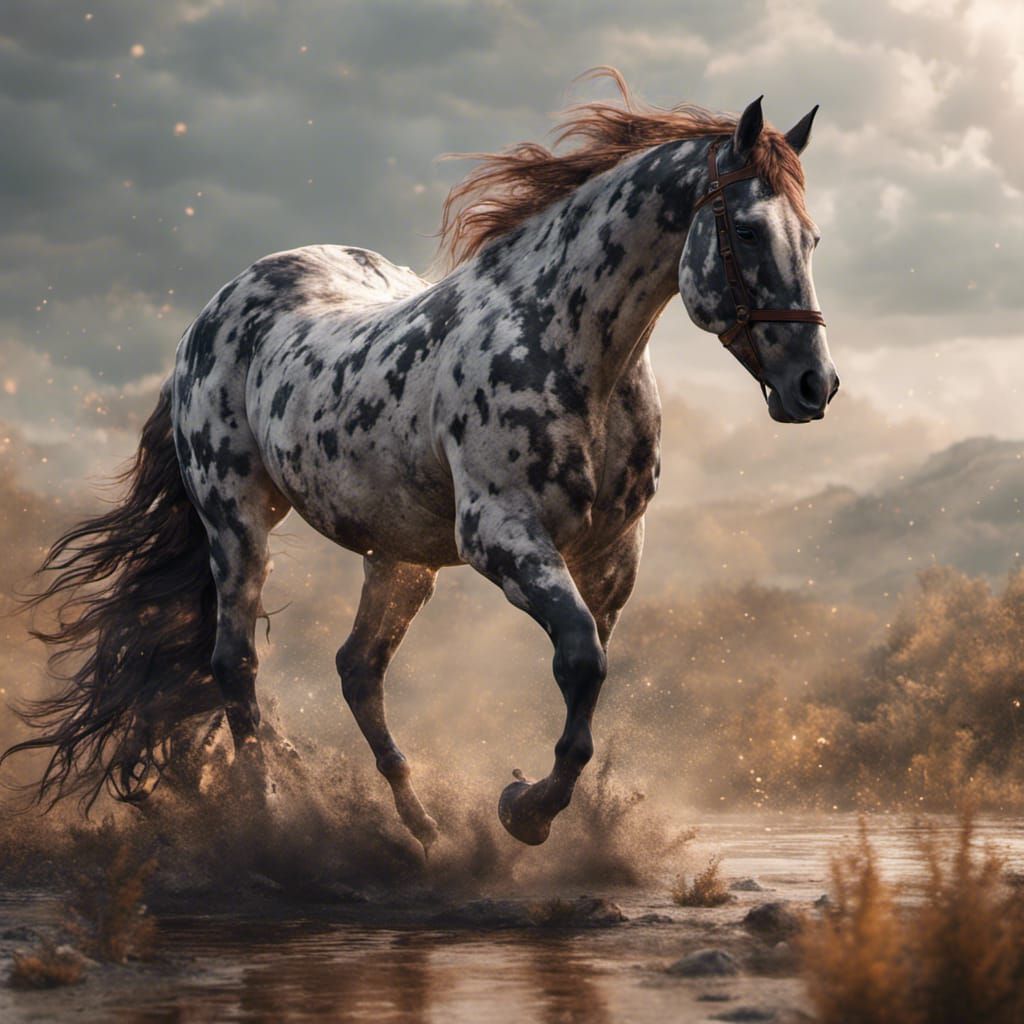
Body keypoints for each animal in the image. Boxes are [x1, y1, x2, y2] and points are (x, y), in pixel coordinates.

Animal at [2, 70, 838, 851]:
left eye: (812, 240)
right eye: (750, 231)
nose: (813, 385)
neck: (567, 344)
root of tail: (215, 312)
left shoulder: (610, 553)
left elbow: (588, 673)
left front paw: (524, 802)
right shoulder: (503, 536)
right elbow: (581, 662)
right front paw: (524, 812)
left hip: (400, 557)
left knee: (357, 668)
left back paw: (421, 824)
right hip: (237, 523)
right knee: (236, 665)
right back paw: (270, 817)